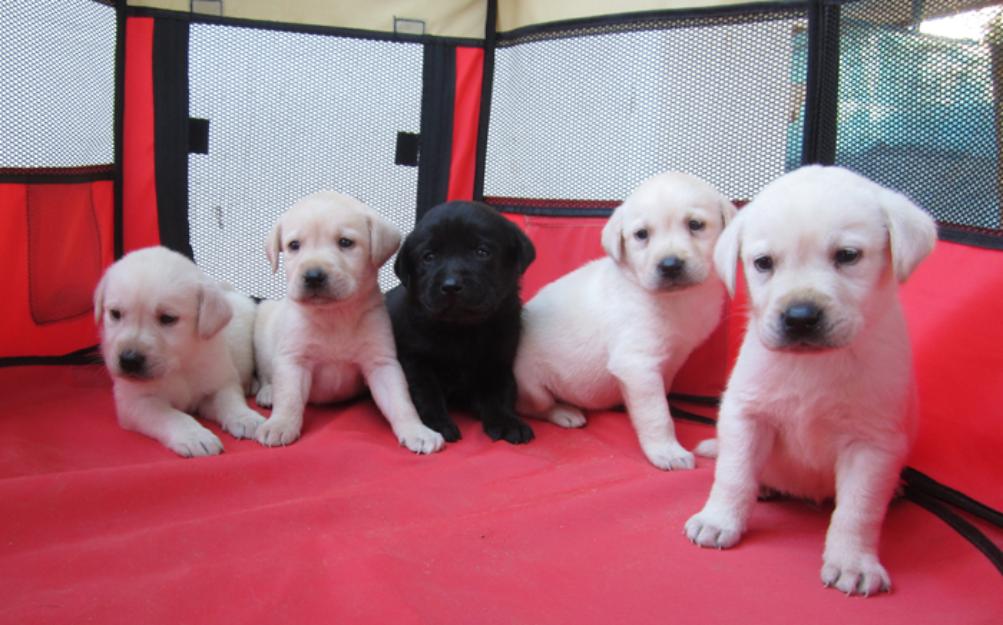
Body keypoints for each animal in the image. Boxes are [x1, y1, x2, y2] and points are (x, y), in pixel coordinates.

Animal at [94, 246, 264, 457]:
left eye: (168, 318)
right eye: (115, 314)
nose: (129, 359)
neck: (179, 365)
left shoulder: (219, 383)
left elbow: (230, 400)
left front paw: (247, 418)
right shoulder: (137, 402)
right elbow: (171, 416)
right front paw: (195, 436)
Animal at [252, 190, 441, 455]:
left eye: (345, 242)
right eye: (294, 245)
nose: (313, 276)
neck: (335, 314)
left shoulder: (381, 362)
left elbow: (400, 402)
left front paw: (417, 430)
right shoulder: (293, 359)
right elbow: (289, 398)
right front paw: (280, 425)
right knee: (266, 374)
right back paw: (268, 393)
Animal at [387, 201, 537, 445]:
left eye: (482, 252)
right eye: (429, 257)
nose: (450, 285)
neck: (461, 329)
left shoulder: (498, 360)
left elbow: (500, 392)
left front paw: (507, 422)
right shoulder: (414, 359)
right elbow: (425, 392)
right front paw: (437, 424)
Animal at [517, 171, 738, 469]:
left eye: (695, 225)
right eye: (641, 234)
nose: (670, 265)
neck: (676, 300)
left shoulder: (668, 362)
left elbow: (660, 398)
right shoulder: (637, 364)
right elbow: (657, 414)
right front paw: (667, 451)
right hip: (531, 385)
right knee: (533, 407)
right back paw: (564, 411)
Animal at [686, 166, 934, 597]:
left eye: (848, 256)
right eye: (763, 263)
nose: (800, 317)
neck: (815, 364)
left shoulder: (873, 444)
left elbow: (858, 509)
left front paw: (853, 561)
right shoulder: (747, 414)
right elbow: (733, 475)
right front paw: (719, 520)